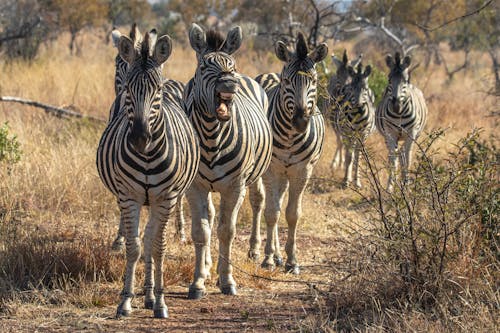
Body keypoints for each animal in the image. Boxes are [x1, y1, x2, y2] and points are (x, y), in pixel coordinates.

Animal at [109, 25, 188, 244]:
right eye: (117, 65)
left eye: (158, 88)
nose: (140, 138)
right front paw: (121, 236)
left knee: (180, 198)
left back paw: (181, 231)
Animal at [186, 23, 274, 298]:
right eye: (204, 66)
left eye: (230, 66)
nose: (228, 83)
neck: (212, 136)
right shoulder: (195, 187)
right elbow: (201, 231)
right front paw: (198, 282)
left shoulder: (235, 185)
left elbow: (227, 231)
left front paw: (226, 281)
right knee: (211, 215)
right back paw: (206, 266)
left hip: (255, 175)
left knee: (258, 201)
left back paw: (256, 251)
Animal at [254, 32, 328, 274]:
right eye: (287, 82)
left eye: (314, 81)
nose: (301, 121)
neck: (289, 137)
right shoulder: (270, 170)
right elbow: (271, 212)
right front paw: (267, 258)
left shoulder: (302, 171)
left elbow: (292, 214)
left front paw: (291, 260)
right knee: (261, 202)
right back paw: (258, 250)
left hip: (286, 174)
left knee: (278, 200)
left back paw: (279, 255)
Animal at [376, 52, 428, 192]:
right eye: (389, 80)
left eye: (405, 81)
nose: (396, 105)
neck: (399, 114)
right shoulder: (390, 133)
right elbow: (393, 160)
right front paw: (390, 187)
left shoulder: (412, 133)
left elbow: (407, 158)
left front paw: (407, 187)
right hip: (388, 137)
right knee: (395, 154)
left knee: (404, 154)